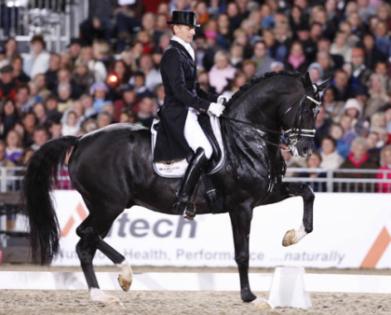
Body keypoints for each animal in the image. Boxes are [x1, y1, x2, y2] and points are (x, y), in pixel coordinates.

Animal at [23, 71, 326, 304]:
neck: (247, 136)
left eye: (318, 111)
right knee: (85, 233)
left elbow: (308, 193)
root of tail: (80, 140)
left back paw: (101, 295)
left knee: (86, 243)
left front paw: (291, 237)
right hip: (109, 205)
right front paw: (250, 297)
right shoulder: (241, 205)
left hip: (103, 207)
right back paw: (124, 274)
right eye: (306, 108)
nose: (305, 149)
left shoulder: (265, 194)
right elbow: (242, 252)